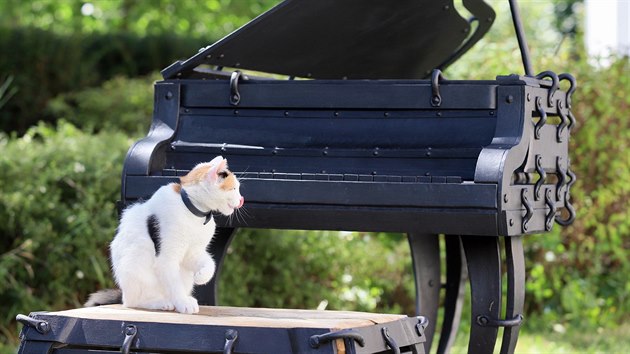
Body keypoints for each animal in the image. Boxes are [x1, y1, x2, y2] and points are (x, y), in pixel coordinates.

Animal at [84, 156, 242, 314]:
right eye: (234, 188)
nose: (241, 200)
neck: (193, 213)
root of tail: (123, 293)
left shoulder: (193, 252)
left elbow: (210, 264)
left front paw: (201, 277)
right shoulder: (166, 258)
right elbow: (174, 283)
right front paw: (183, 302)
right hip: (135, 262)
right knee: (133, 302)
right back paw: (162, 302)